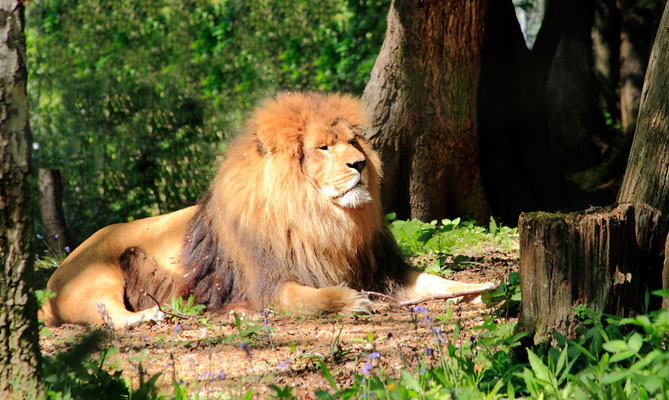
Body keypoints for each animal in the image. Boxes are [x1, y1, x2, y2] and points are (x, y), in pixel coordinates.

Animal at [39, 92, 497, 328]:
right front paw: (351, 301)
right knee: (109, 316)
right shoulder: (264, 286)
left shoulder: (383, 270)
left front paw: (483, 290)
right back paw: (151, 315)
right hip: (97, 279)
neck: (322, 220)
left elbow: (437, 282)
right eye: (323, 148)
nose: (360, 165)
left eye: (354, 143)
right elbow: (312, 298)